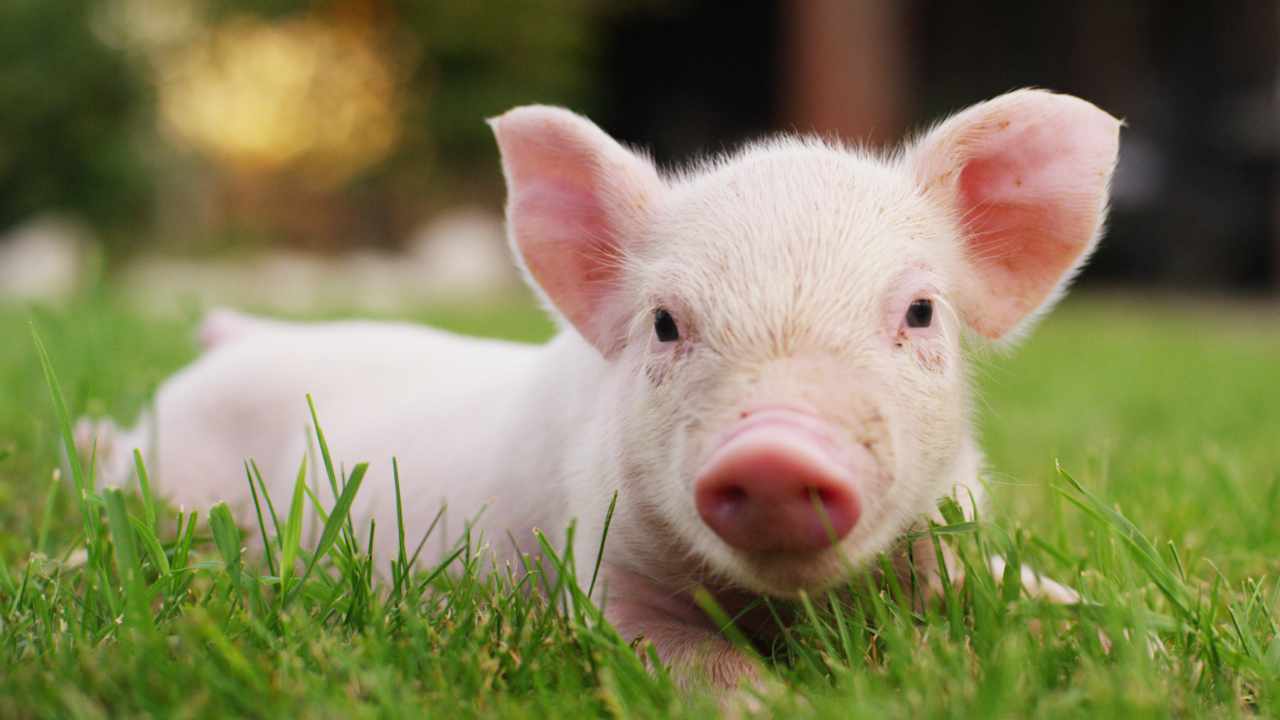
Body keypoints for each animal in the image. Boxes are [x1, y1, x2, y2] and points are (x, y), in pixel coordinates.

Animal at [75, 89, 1120, 688]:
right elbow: (693, 665)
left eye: (921, 313)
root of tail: (237, 335)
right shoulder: (603, 569)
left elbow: (1026, 594)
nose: (775, 448)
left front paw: (1110, 639)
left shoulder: (950, 532)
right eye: (664, 323)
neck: (783, 606)